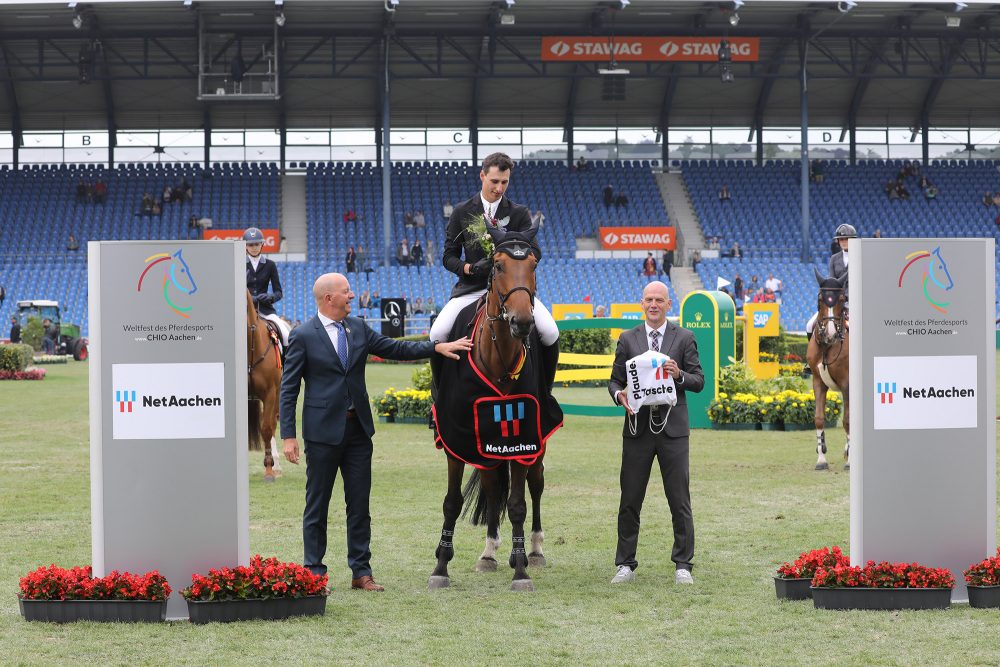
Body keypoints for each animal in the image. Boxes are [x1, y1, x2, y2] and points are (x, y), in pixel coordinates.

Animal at [428, 222, 560, 592]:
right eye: (497, 265)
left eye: (533, 264)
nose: (522, 322)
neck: (498, 360)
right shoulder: (456, 440)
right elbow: (452, 502)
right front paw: (440, 567)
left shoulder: (523, 440)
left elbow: (517, 504)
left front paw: (521, 570)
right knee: (491, 485)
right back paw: (488, 553)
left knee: (536, 485)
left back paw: (534, 550)